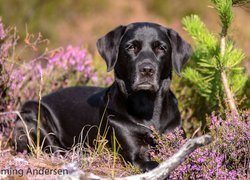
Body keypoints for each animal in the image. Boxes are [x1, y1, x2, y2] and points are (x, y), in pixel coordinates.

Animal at [12, 21, 192, 172]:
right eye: (130, 47)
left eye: (161, 48)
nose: (147, 70)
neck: (146, 105)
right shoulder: (136, 155)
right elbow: (152, 162)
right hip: (33, 113)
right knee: (55, 149)